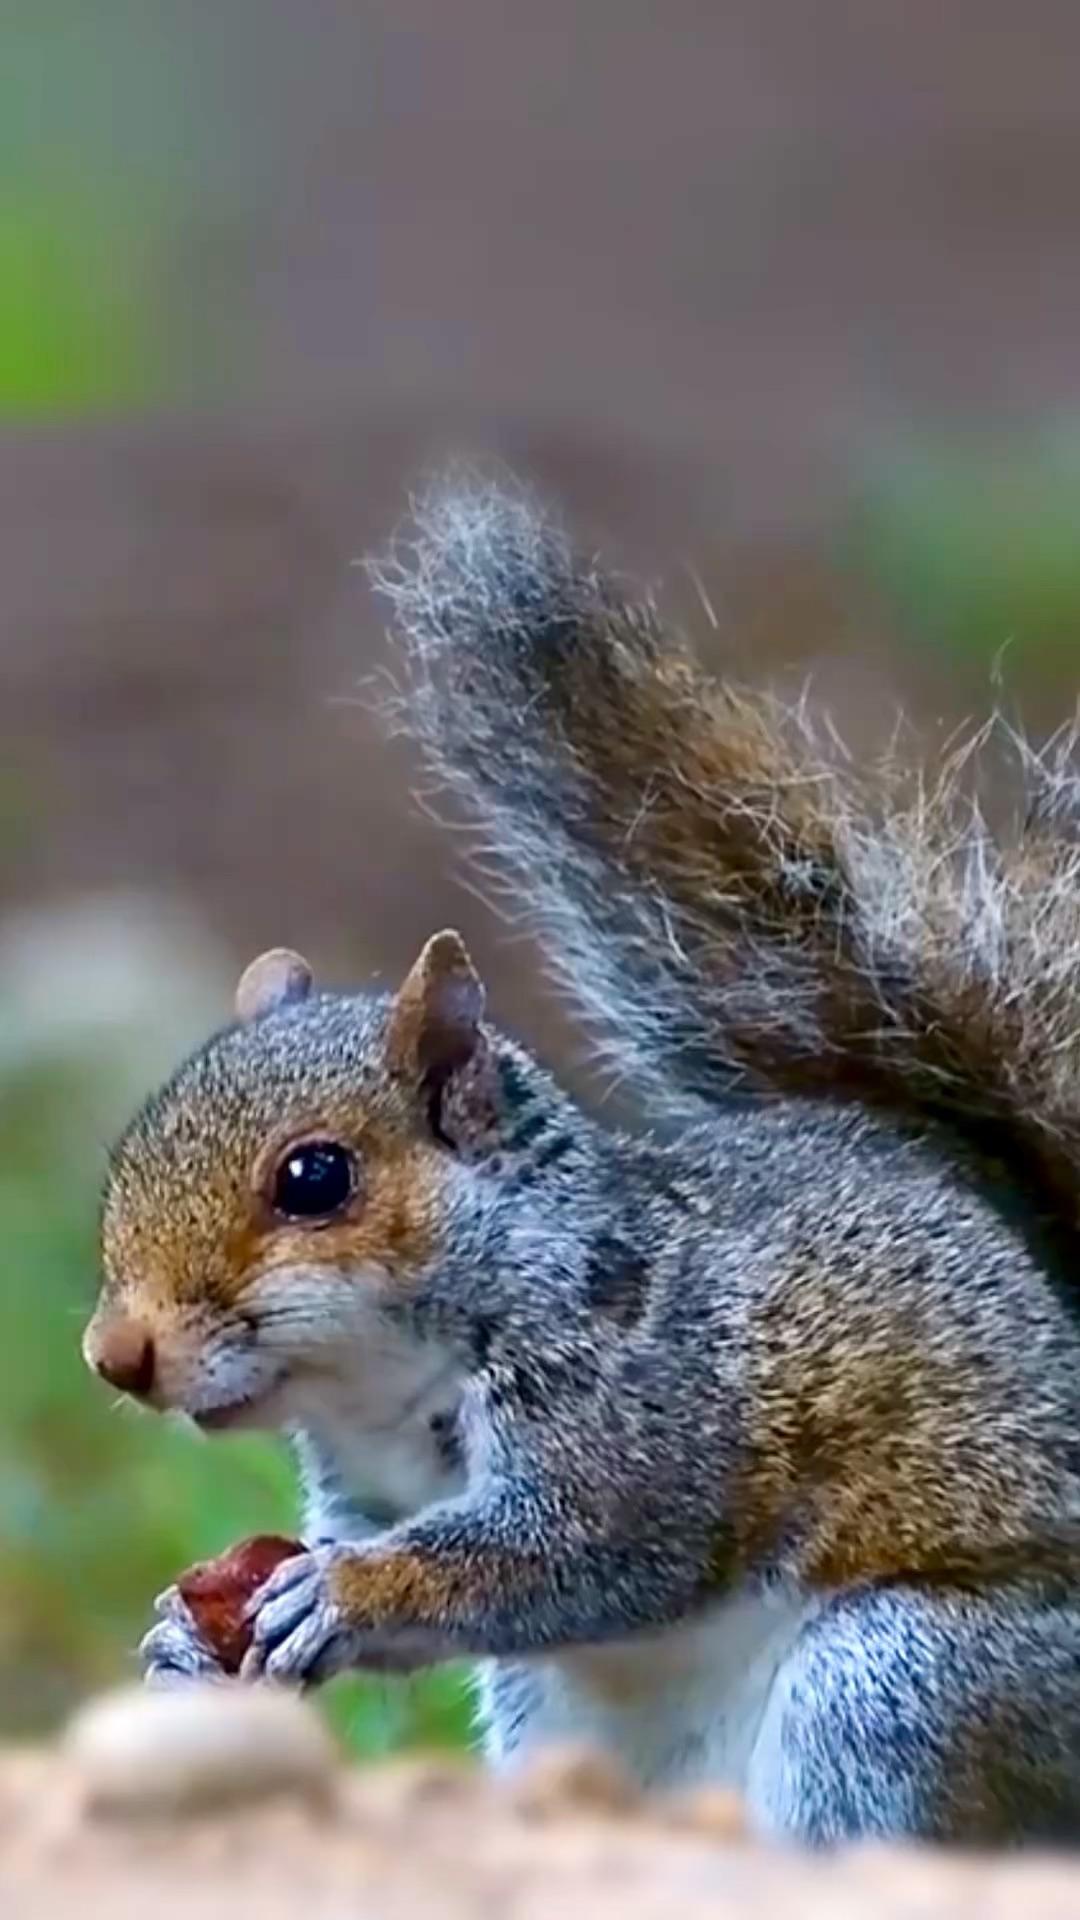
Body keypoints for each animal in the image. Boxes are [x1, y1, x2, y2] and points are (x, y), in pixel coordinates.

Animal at [85, 472, 1080, 1835]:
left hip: (903, 1685)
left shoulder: (644, 1414)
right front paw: (186, 1643)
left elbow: (578, 1552)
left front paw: (346, 1592)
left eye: (315, 1178)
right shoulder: (362, 1485)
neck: (385, 1378)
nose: (113, 1355)